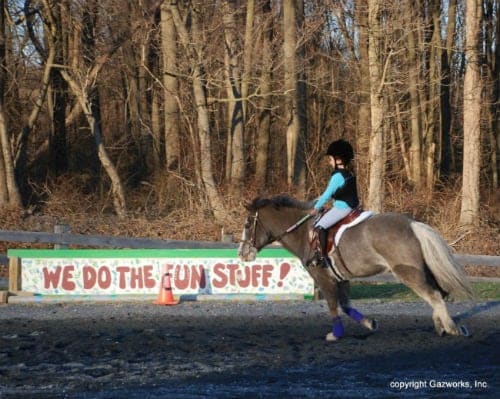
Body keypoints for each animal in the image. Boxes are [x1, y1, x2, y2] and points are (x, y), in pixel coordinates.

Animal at [238, 195, 472, 340]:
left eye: (248, 224)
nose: (242, 253)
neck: (304, 232)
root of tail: (412, 224)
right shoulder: (341, 278)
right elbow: (346, 305)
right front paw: (369, 323)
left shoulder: (323, 277)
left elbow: (333, 305)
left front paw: (336, 334)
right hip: (420, 270)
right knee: (436, 294)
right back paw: (440, 325)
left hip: (408, 272)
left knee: (434, 295)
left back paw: (450, 327)